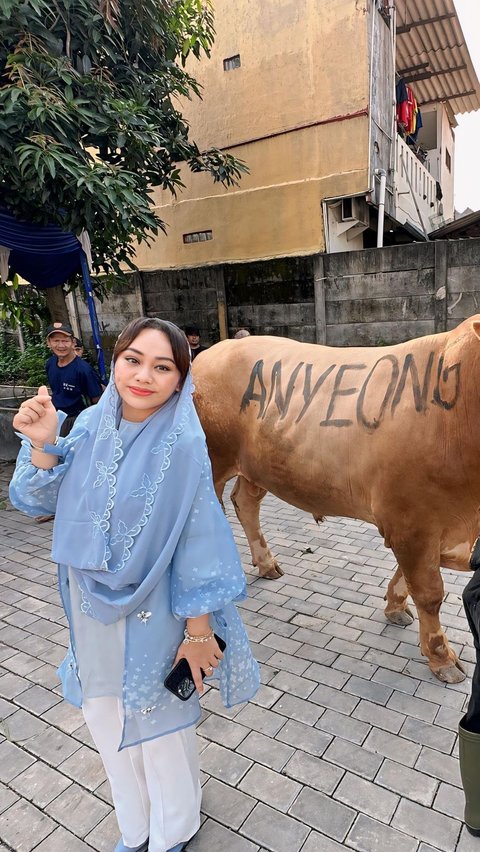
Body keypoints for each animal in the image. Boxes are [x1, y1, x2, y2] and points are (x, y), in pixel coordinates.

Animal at [193, 316, 480, 684]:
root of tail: (215, 350)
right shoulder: (413, 522)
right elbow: (429, 592)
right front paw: (442, 658)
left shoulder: (422, 527)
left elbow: (408, 576)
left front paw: (395, 606)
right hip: (212, 458)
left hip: (258, 467)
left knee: (245, 502)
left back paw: (267, 565)